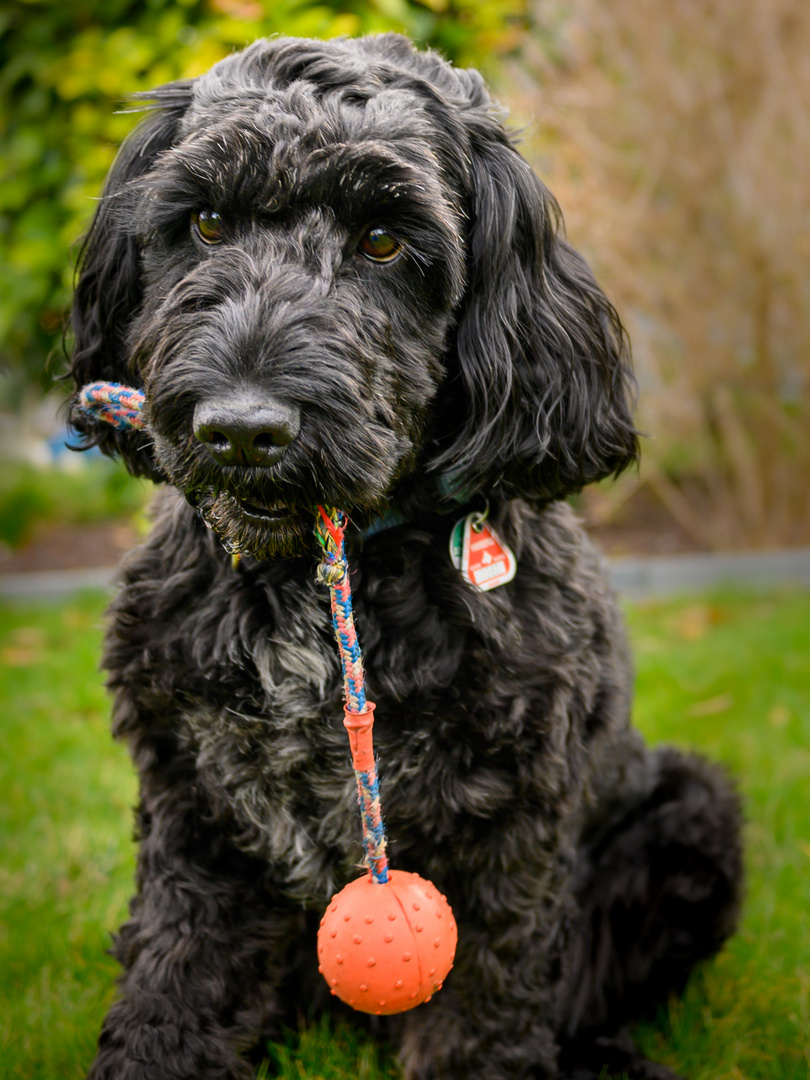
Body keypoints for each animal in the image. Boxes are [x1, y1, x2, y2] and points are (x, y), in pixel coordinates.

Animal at [69, 33, 743, 1080]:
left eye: (385, 241)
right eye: (207, 222)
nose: (242, 430)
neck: (314, 572)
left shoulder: (507, 835)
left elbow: (486, 1018)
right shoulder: (195, 815)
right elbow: (173, 988)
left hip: (689, 815)